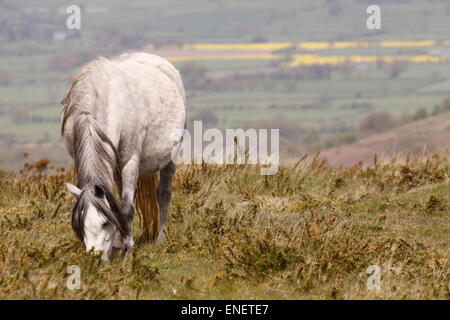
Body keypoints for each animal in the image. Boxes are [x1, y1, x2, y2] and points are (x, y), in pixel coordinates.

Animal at [60, 52, 186, 260]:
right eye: (81, 226)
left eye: (104, 223)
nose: (95, 257)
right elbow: (117, 206)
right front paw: (120, 243)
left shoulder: (130, 162)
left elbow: (126, 208)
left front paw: (127, 250)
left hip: (170, 158)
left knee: (163, 195)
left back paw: (162, 237)